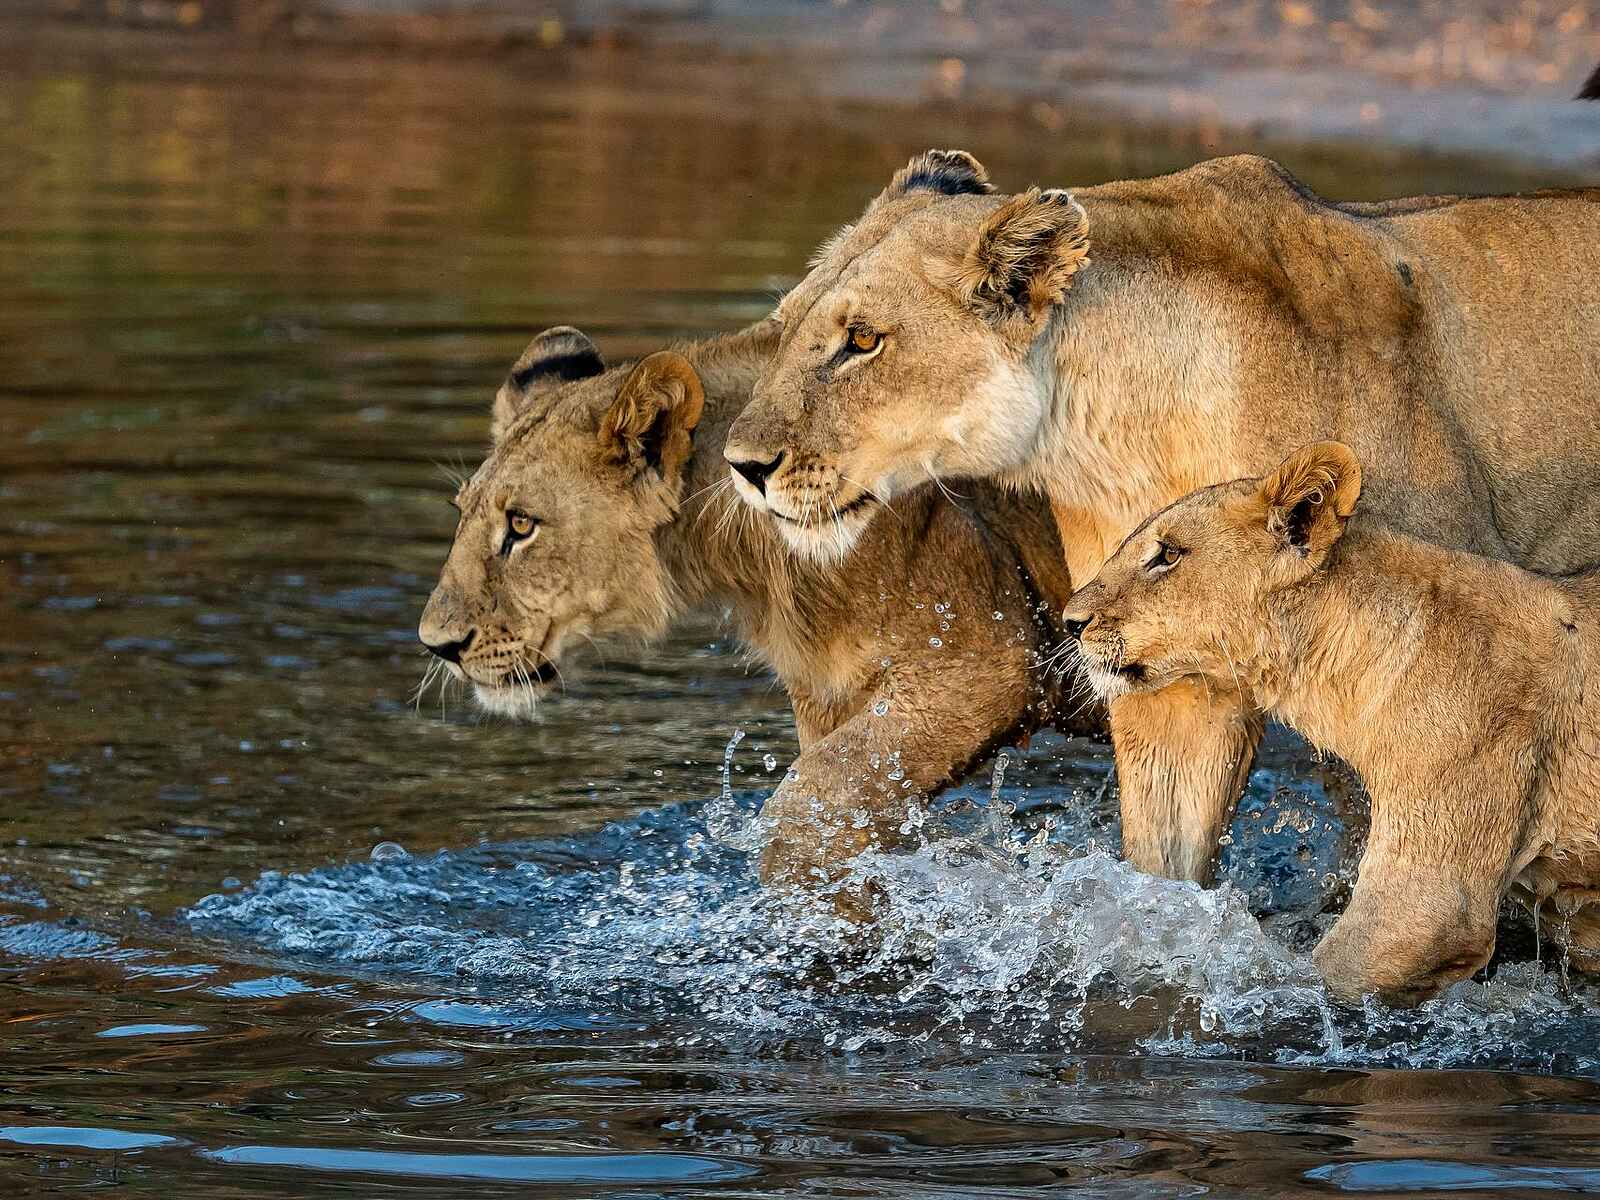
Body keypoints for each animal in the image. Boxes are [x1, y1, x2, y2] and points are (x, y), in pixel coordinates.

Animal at [416, 319, 1092, 902]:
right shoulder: (832, 698)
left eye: (521, 526)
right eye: (461, 513)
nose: (436, 644)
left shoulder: (986, 664)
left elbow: (803, 806)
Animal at [723, 148, 1600, 887]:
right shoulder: (1157, 666)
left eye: (861, 341)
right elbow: (1164, 861)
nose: (742, 465)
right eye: (788, 326)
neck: (1116, 427)